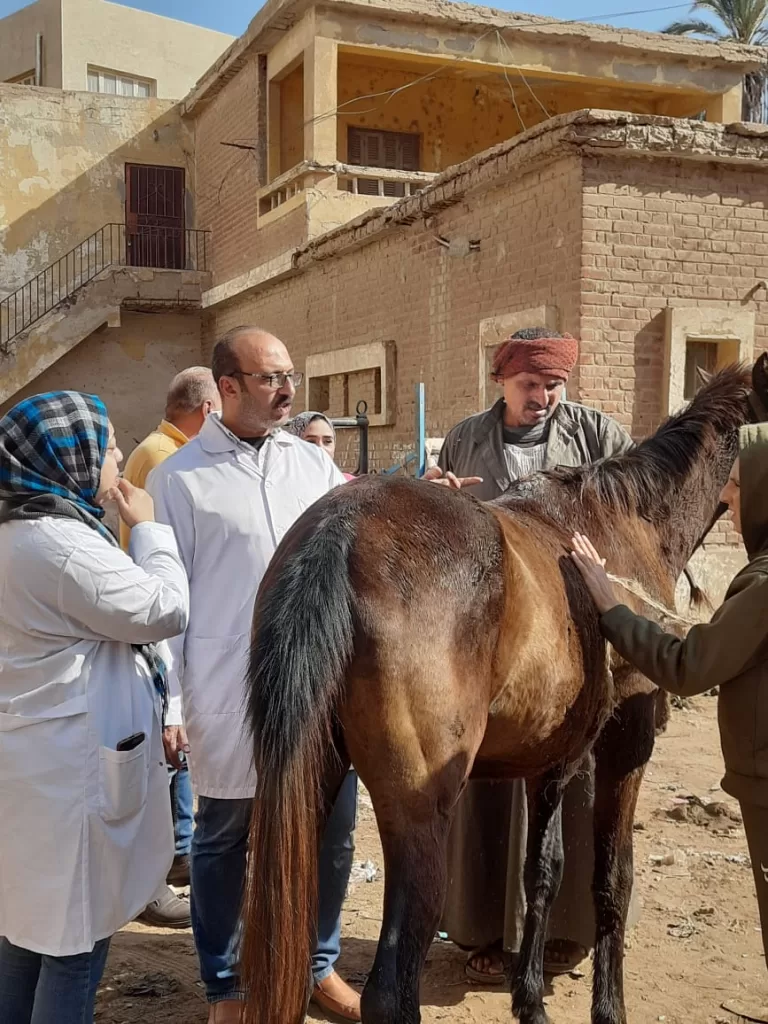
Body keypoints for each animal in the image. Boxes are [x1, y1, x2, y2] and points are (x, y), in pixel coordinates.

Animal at [243, 360, 765, 1024]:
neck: (628, 521)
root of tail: (341, 530)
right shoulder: (627, 742)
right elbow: (612, 878)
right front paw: (607, 1008)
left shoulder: (551, 761)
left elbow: (542, 870)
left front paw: (531, 999)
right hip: (419, 818)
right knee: (390, 992)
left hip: (306, 786)